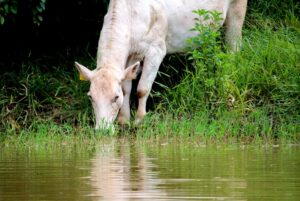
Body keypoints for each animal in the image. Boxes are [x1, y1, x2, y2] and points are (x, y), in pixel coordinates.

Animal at [74, 0, 246, 130]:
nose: (101, 129)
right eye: (90, 96)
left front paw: (139, 121)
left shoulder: (156, 49)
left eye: (115, 97)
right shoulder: (131, 56)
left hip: (237, 8)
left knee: (234, 49)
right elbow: (127, 88)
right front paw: (124, 121)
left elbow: (142, 89)